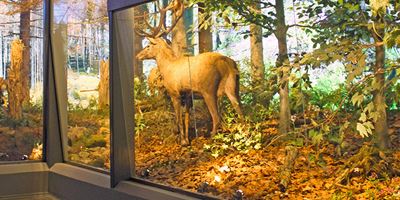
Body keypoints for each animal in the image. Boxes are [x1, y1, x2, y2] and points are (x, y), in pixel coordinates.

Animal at [136, 0, 242, 145]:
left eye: (148, 46)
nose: (137, 56)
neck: (167, 67)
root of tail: (227, 62)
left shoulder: (174, 93)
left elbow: (178, 118)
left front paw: (182, 141)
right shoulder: (187, 95)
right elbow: (187, 118)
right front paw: (187, 139)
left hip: (208, 90)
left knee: (216, 117)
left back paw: (212, 138)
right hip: (234, 86)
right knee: (241, 111)